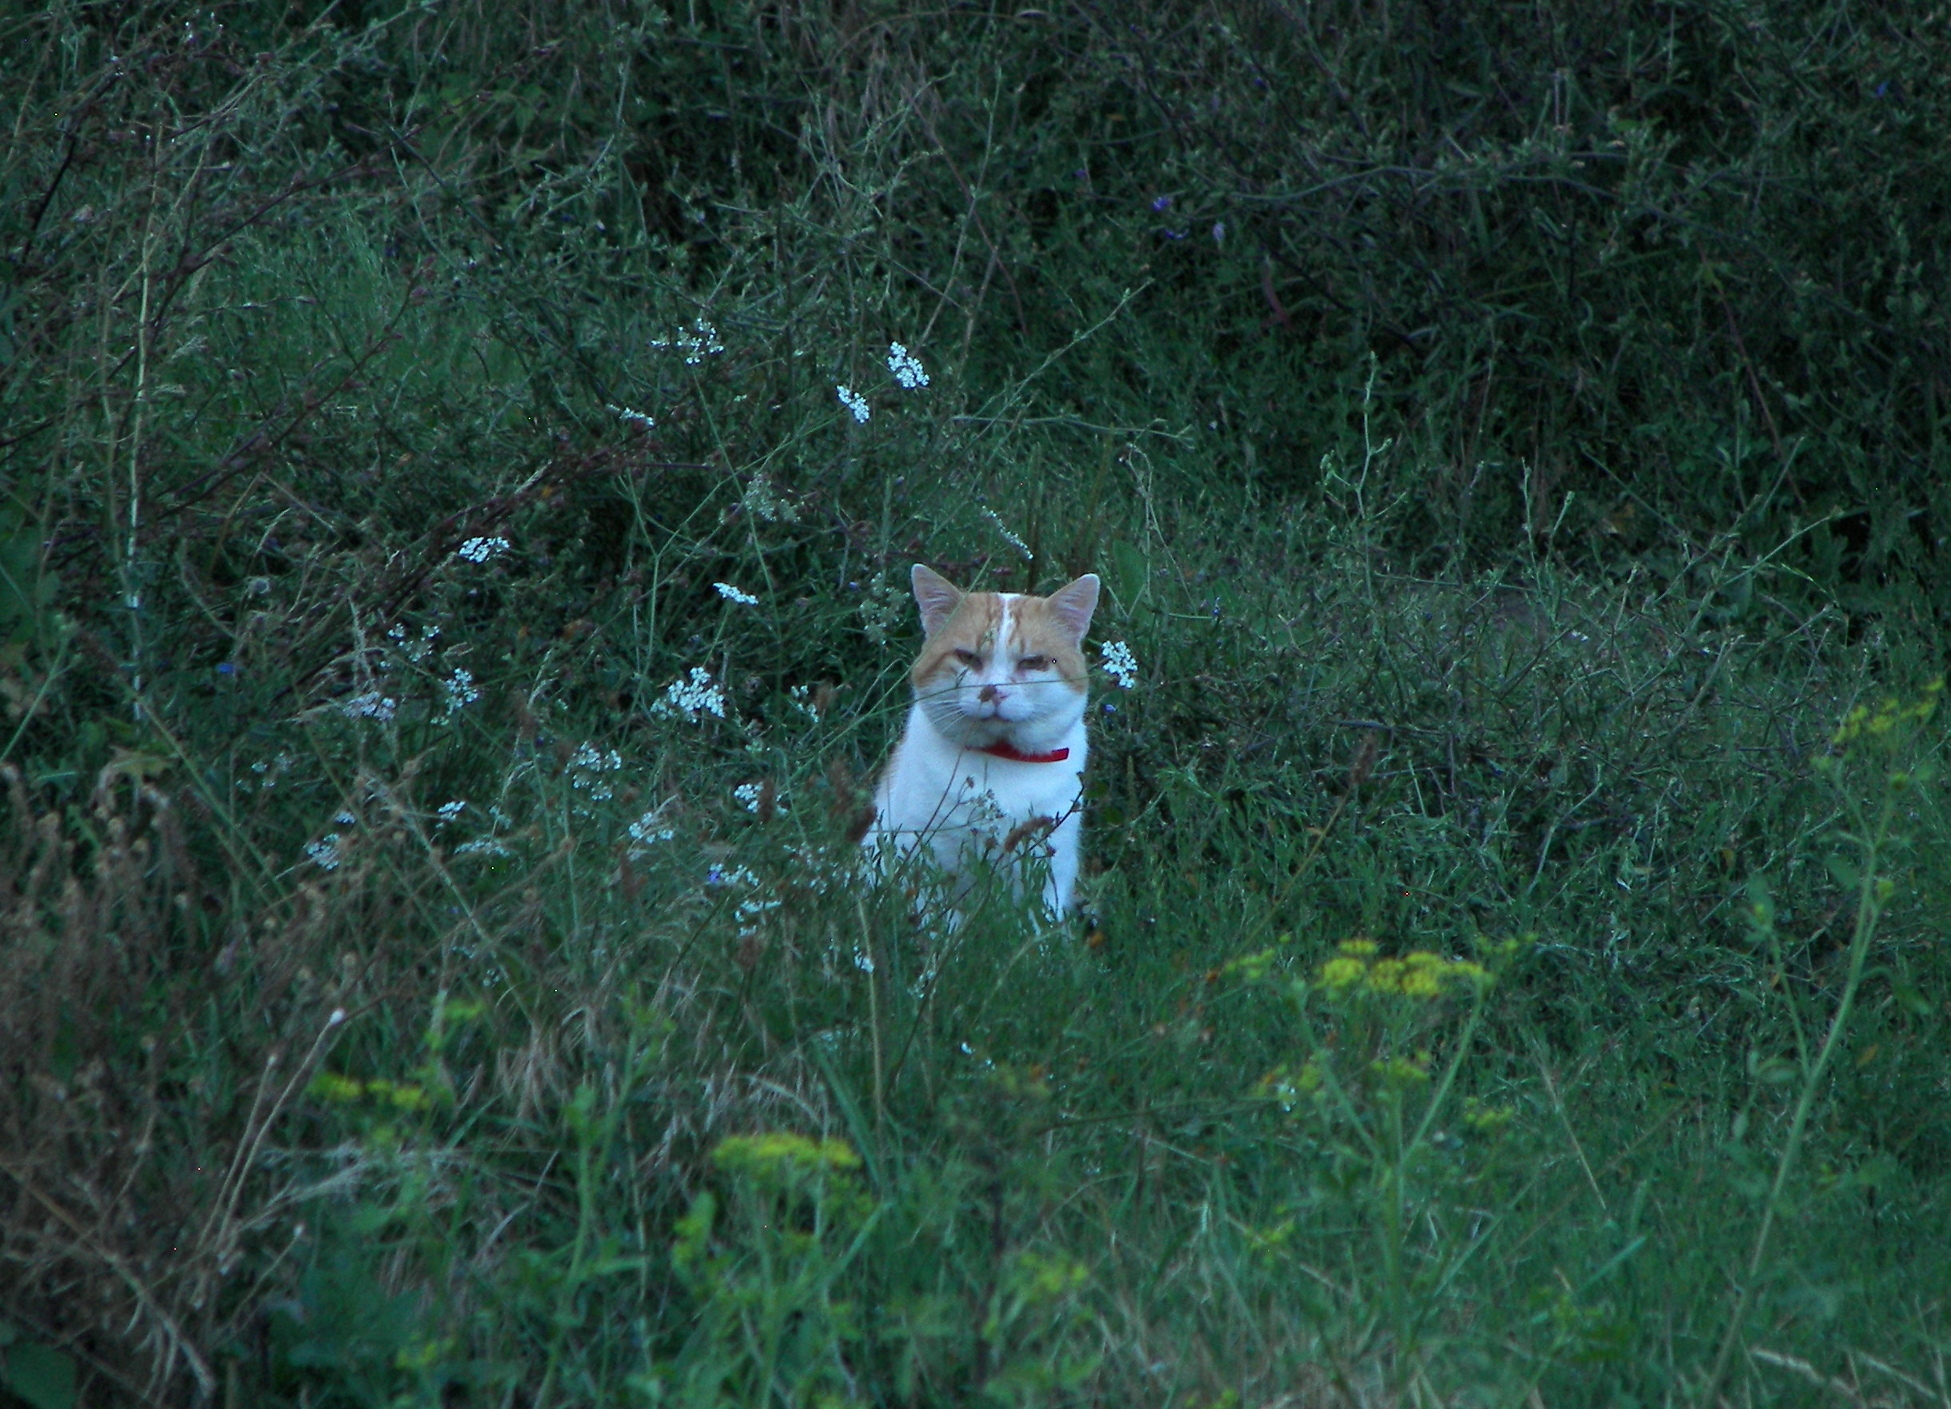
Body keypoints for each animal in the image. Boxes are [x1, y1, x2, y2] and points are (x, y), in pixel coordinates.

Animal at [866, 565, 1100, 917]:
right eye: (968, 657)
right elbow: (939, 922)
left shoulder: (1052, 869)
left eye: (1033, 662)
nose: (994, 690)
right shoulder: (927, 858)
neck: (1001, 758)